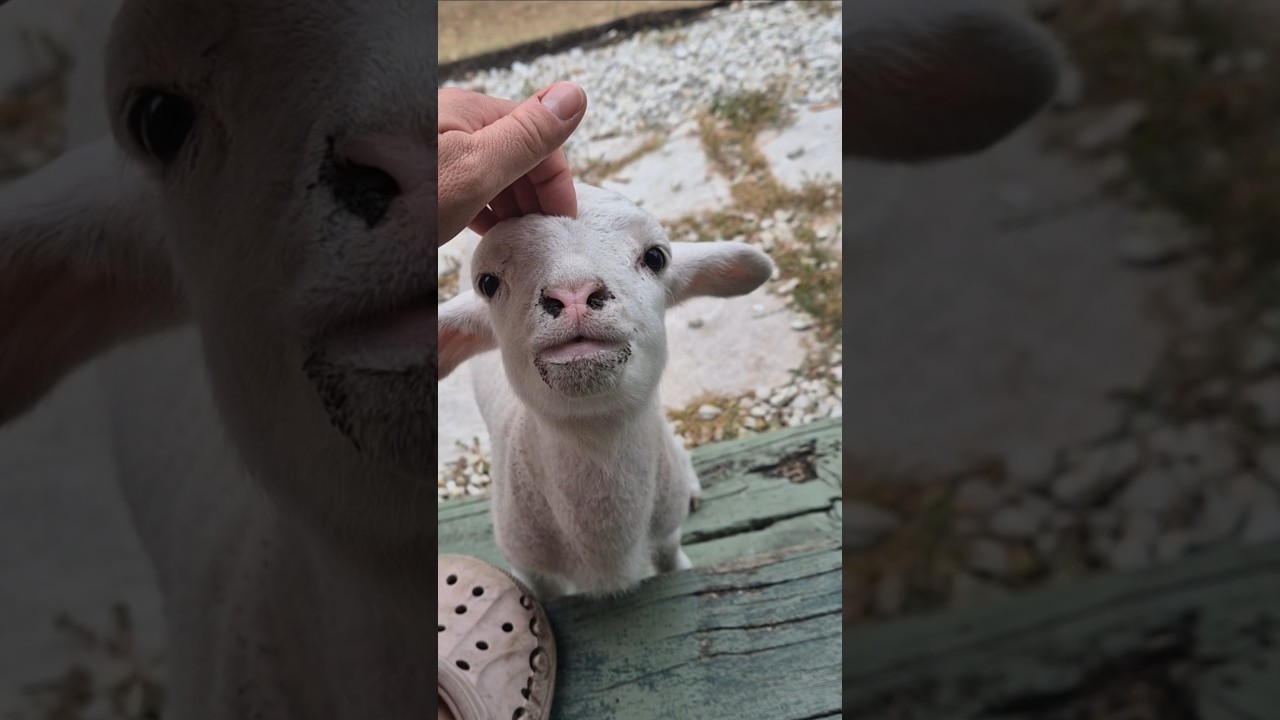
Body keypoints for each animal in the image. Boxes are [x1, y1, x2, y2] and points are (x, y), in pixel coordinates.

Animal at [438, 183, 774, 600]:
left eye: (655, 257)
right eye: (488, 283)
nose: (573, 294)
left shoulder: (665, 536)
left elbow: (673, 561)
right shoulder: (530, 565)